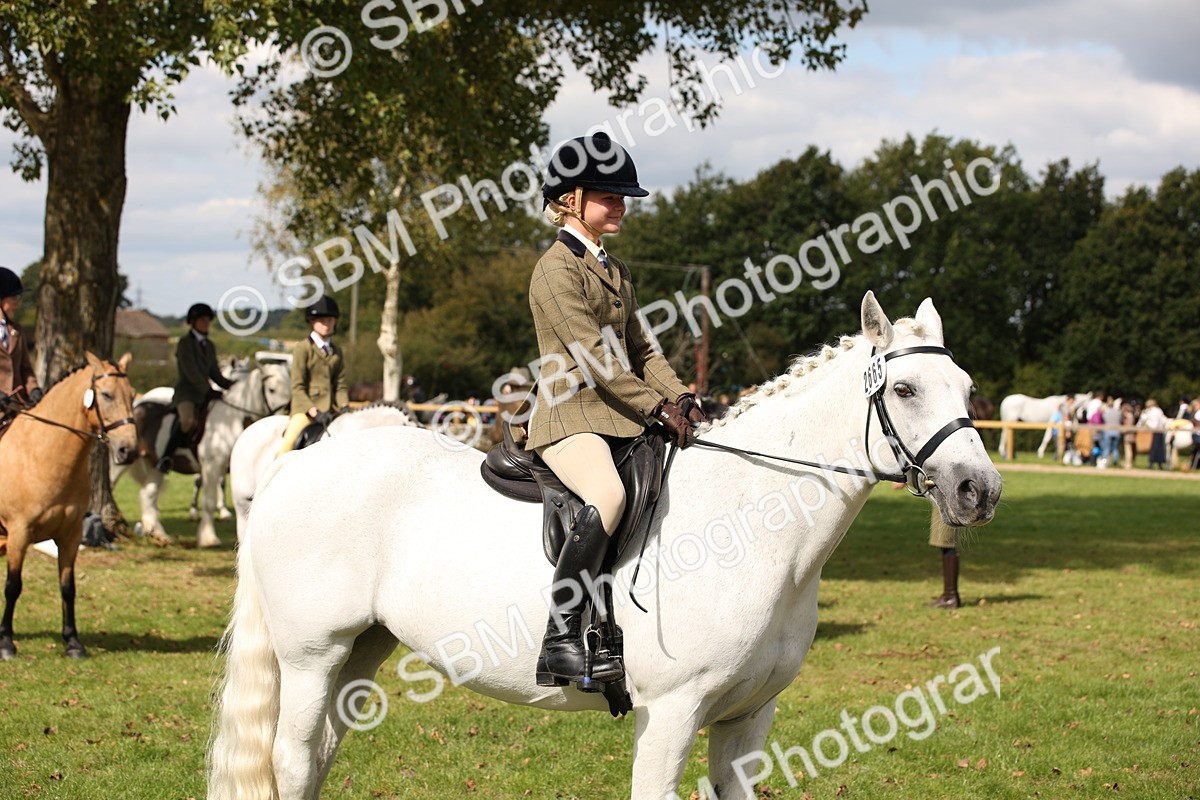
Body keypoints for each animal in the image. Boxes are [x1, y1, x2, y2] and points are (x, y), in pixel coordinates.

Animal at [0, 353, 138, 659]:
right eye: (106, 395)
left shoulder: (70, 535)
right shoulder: (18, 533)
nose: (129, 451)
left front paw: (73, 642)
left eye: (133, 395)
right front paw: (6, 643)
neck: (41, 454)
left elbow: (68, 587)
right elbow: (13, 586)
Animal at [111, 363, 291, 548]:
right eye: (272, 389)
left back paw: (159, 534)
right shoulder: (212, 466)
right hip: (122, 460)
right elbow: (209, 502)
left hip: (156, 465)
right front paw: (209, 538)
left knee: (149, 494)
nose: (287, 412)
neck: (233, 419)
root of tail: (137, 405)